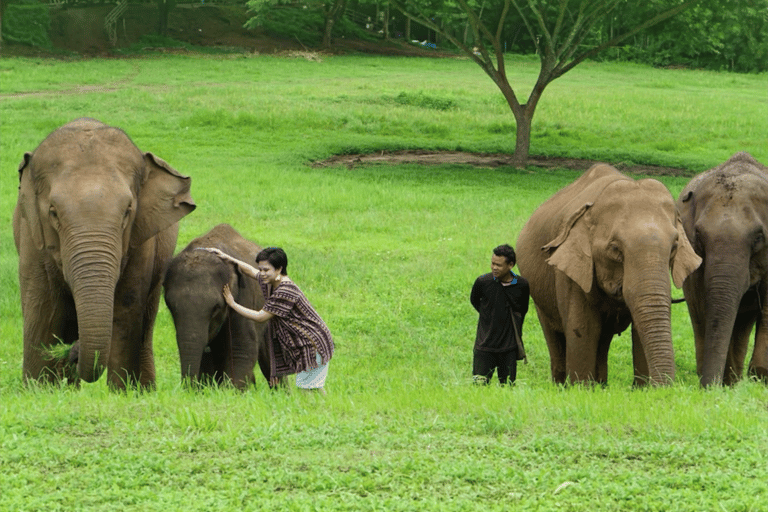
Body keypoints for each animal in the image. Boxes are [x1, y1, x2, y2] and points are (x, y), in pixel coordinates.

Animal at [13, 118, 196, 389]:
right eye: (53, 212)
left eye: (128, 211)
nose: (74, 351)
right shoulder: (32, 238)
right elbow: (43, 314)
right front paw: (39, 391)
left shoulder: (140, 240)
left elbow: (125, 313)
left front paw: (123, 392)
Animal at [163, 224, 271, 389]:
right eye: (170, 306)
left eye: (216, 308)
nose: (187, 389)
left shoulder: (242, 296)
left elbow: (242, 346)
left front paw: (231, 391)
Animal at [516, 163, 701, 386]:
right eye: (614, 249)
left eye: (674, 247)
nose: (665, 388)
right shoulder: (572, 270)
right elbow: (583, 329)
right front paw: (581, 388)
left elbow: (641, 332)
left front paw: (643, 389)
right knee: (555, 335)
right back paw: (561, 385)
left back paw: (600, 385)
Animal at [677, 152, 768, 386]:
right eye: (699, 236)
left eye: (758, 237)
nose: (710, 388)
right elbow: (701, 306)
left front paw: (759, 377)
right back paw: (731, 381)